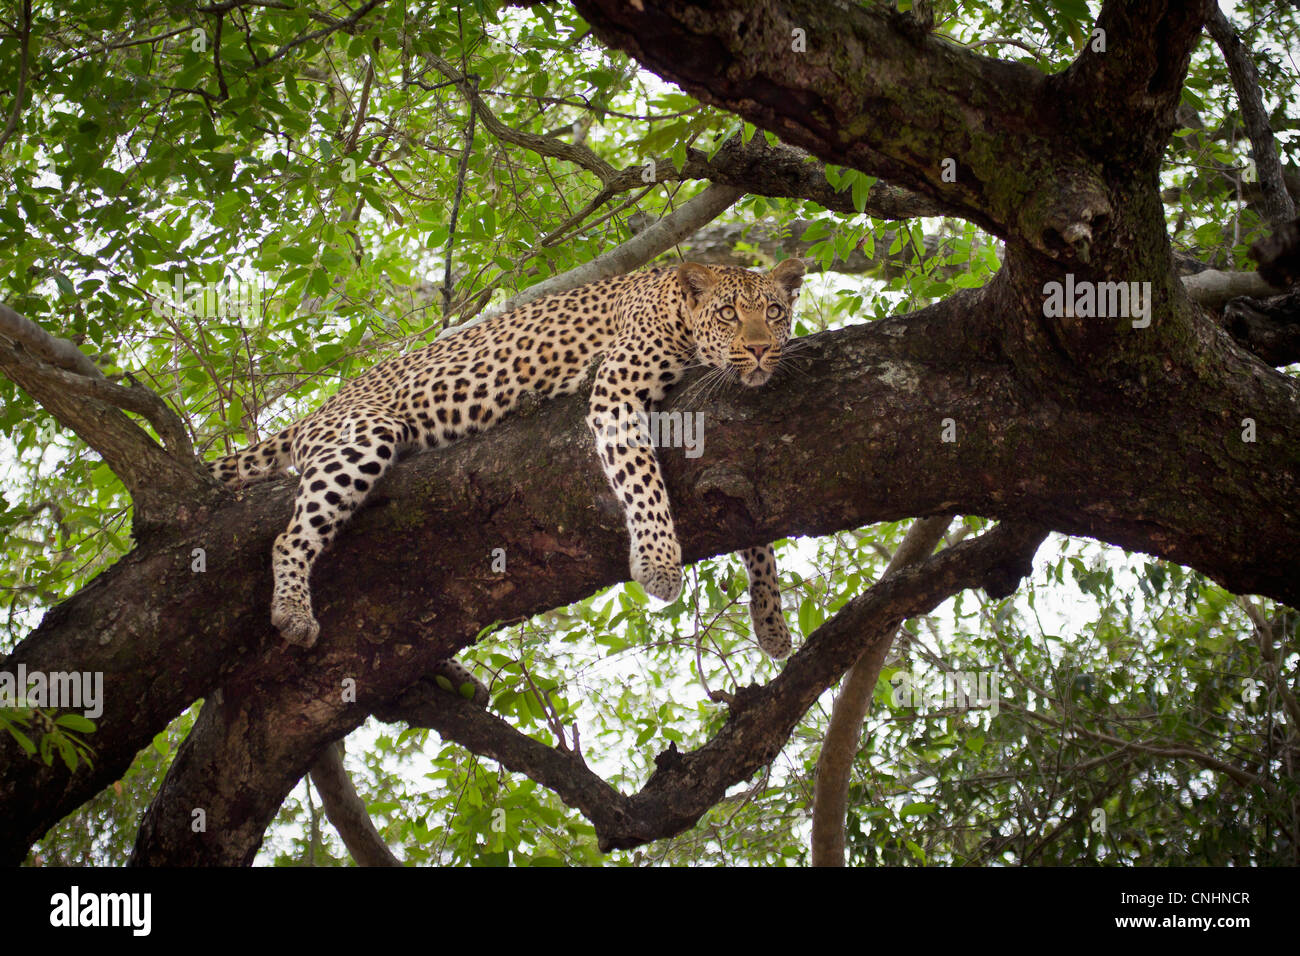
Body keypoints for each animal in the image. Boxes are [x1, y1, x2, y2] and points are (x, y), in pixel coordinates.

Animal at [207, 258, 806, 664]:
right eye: (728, 314)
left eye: (774, 313)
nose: (758, 349)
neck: (681, 313)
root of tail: (323, 406)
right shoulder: (615, 389)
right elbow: (641, 479)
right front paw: (659, 563)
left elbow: (755, 532)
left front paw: (771, 621)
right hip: (362, 435)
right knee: (290, 536)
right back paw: (292, 612)